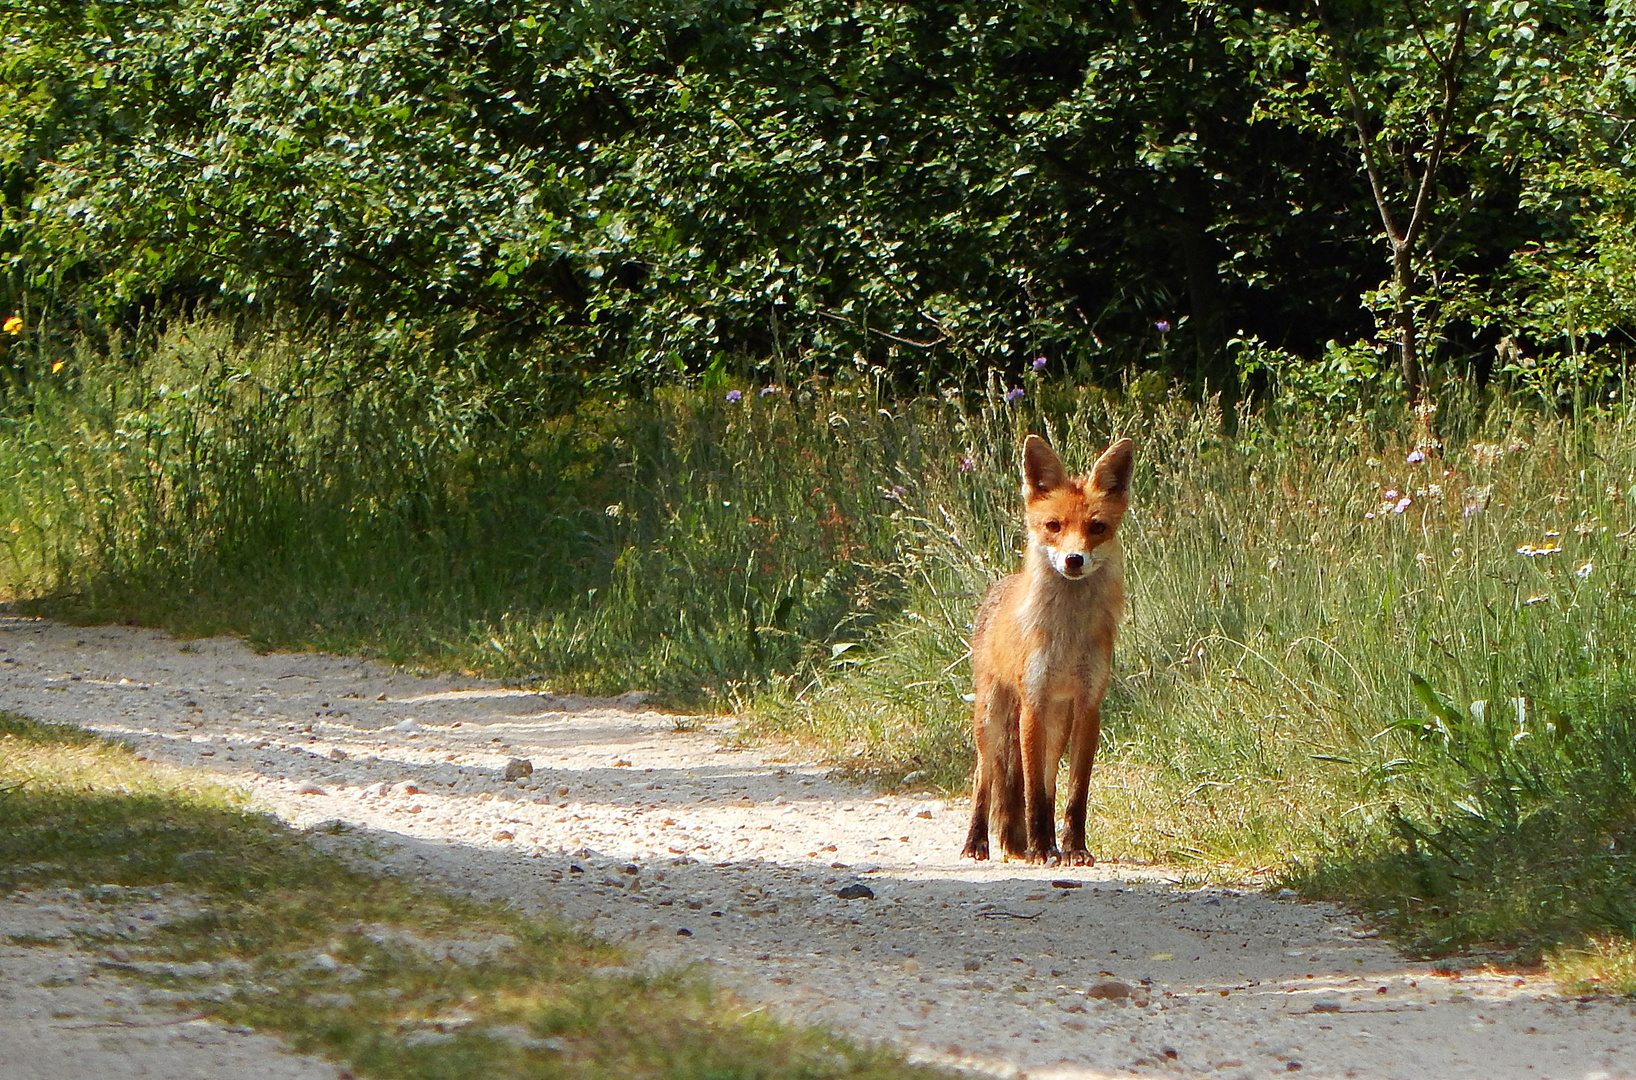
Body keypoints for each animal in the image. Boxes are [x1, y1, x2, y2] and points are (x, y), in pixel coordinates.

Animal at [961, 435, 1132, 864]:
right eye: (1053, 526)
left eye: (1096, 528)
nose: (1074, 559)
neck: (1067, 638)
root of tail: (999, 584)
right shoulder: (1032, 705)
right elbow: (1033, 794)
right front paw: (1039, 848)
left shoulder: (1088, 707)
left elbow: (1072, 794)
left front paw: (1073, 848)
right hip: (992, 716)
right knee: (985, 777)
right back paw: (978, 842)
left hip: (1057, 725)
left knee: (1047, 780)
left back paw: (1049, 843)